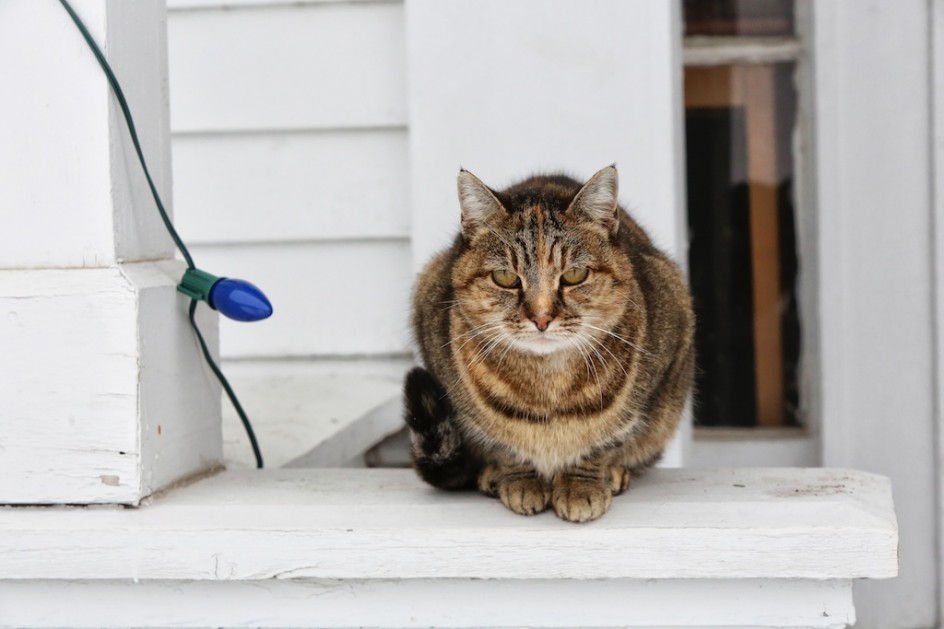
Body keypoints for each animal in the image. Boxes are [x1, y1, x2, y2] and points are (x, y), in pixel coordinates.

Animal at [404, 166, 692, 520]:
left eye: (574, 275)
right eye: (505, 278)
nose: (542, 318)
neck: (547, 390)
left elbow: (602, 442)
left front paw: (581, 485)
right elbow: (504, 445)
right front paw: (520, 480)